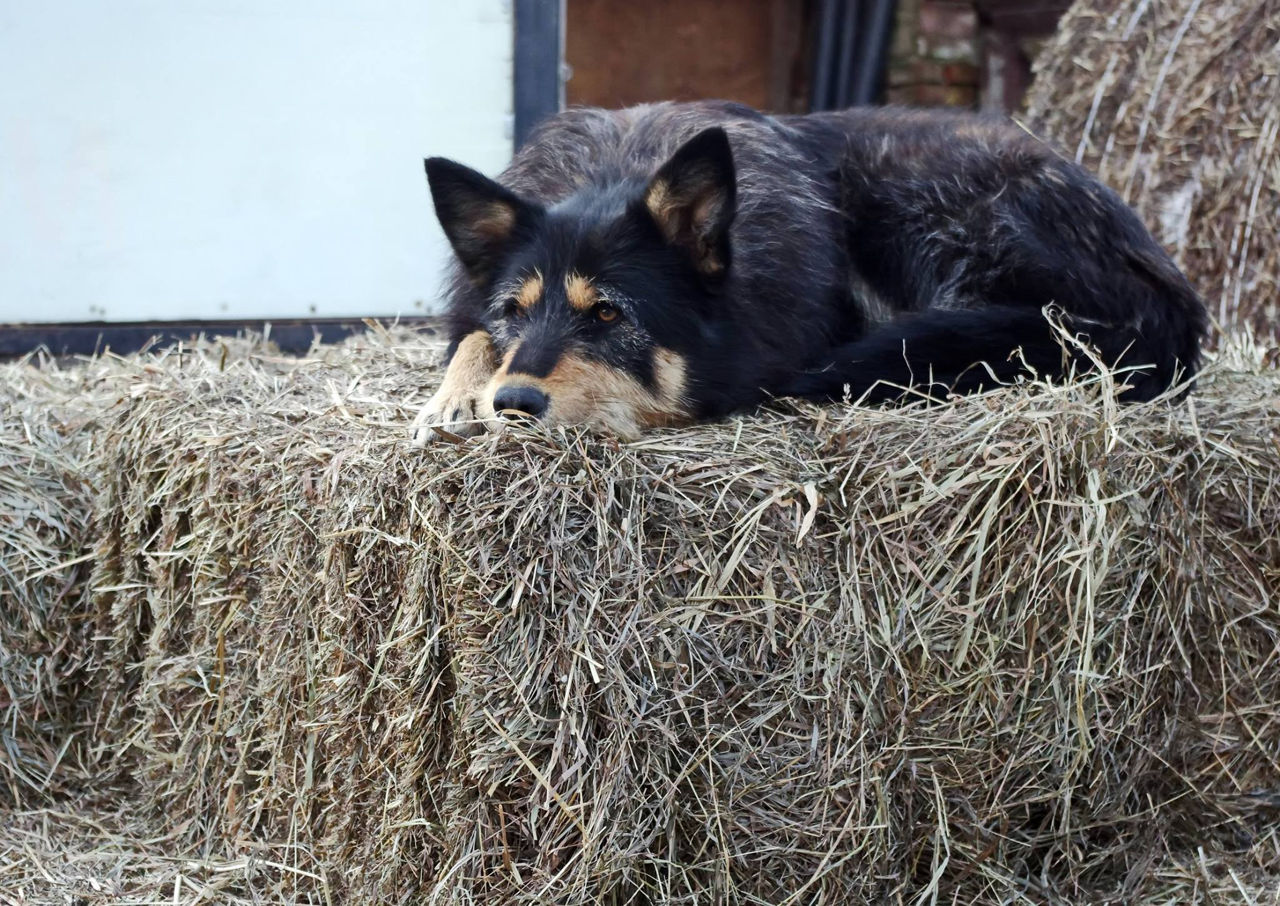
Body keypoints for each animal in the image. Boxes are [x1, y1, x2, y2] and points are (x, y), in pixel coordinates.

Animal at [412, 101, 1208, 440]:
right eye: (515, 311)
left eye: (608, 313)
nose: (515, 404)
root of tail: (1170, 296)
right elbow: (469, 338)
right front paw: (455, 396)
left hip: (921, 206)